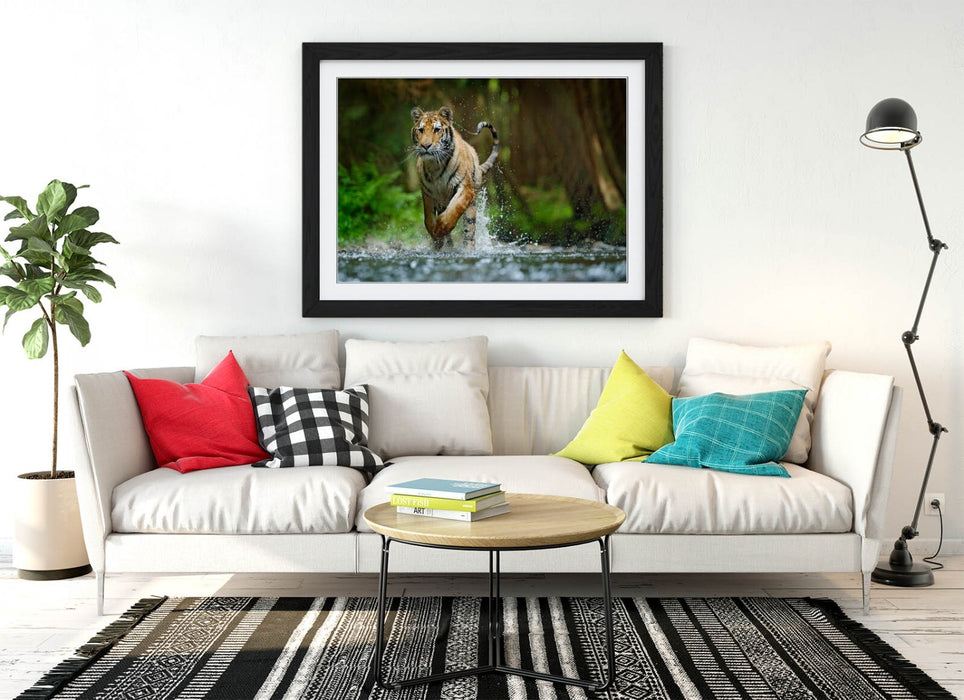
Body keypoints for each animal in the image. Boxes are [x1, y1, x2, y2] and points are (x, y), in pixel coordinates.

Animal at [410, 106, 499, 250]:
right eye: (421, 130)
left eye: (436, 129)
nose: (425, 146)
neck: (435, 165)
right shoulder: (427, 192)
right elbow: (428, 218)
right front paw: (436, 236)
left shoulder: (465, 188)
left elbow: (454, 210)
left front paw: (440, 228)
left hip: (471, 206)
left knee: (469, 232)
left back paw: (467, 249)